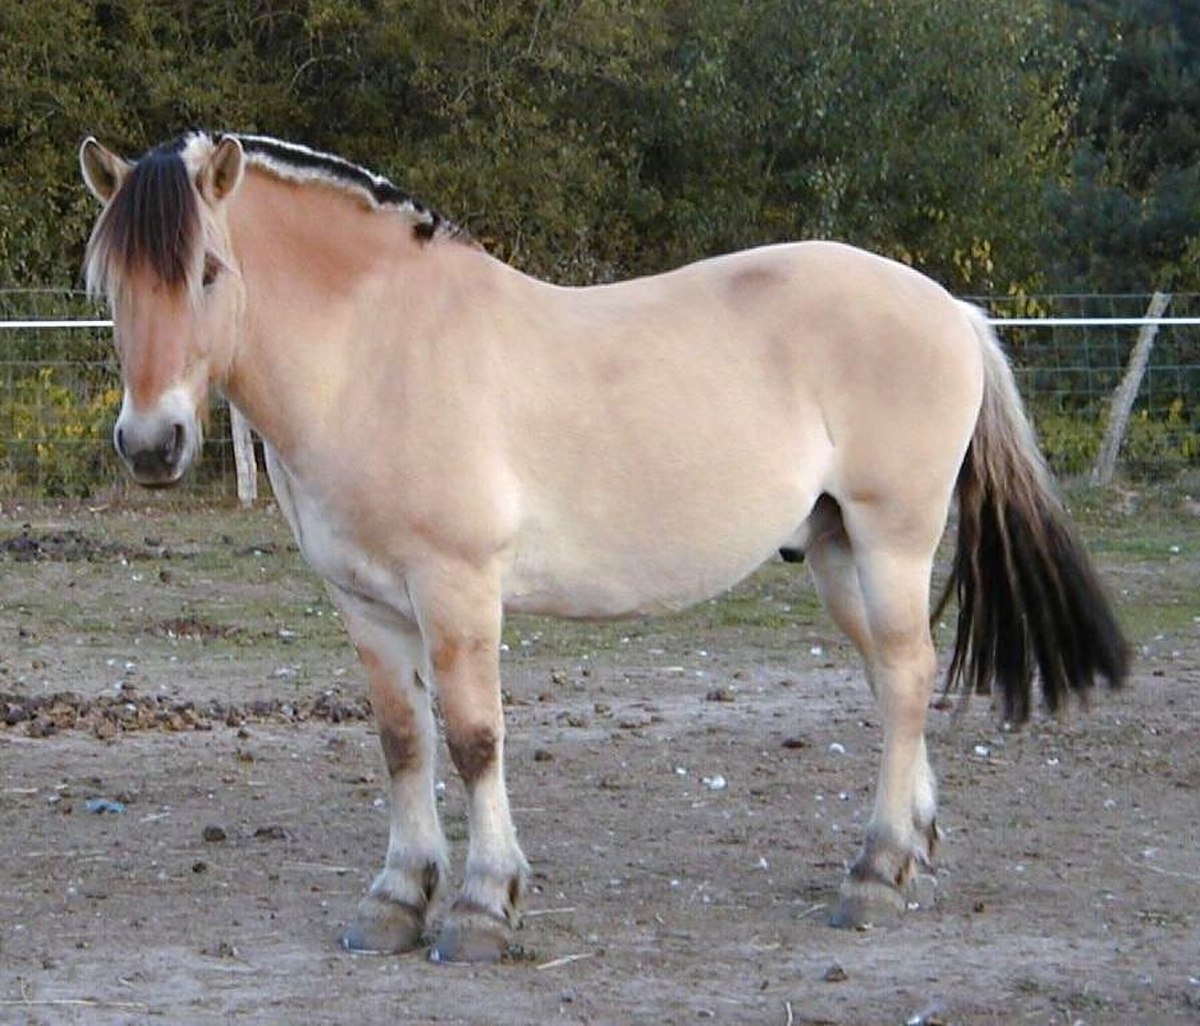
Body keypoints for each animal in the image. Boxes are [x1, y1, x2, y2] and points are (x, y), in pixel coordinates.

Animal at [79, 131, 1128, 963]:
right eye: (114, 284)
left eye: (207, 272)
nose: (151, 444)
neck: (379, 354)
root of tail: (955, 310)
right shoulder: (365, 603)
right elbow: (403, 742)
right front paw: (395, 903)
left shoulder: (456, 589)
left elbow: (474, 740)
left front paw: (481, 908)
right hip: (837, 553)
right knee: (891, 680)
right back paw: (910, 854)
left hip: (891, 539)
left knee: (908, 680)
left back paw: (871, 876)